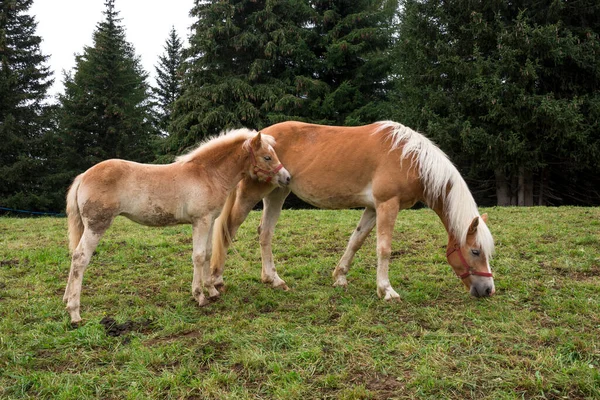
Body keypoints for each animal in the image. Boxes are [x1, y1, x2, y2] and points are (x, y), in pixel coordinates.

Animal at [62, 130, 290, 324]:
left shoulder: (210, 220)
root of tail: (83, 176)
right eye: (267, 157)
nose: (287, 178)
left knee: (74, 256)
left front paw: (212, 292)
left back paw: (66, 300)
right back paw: (74, 312)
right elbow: (198, 256)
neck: (208, 174)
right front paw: (200, 296)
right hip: (96, 225)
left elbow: (208, 254)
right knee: (80, 258)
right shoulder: (201, 221)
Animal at [213, 121, 494, 300]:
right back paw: (215, 281)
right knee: (229, 229)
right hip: (252, 194)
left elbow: (356, 241)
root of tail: (254, 140)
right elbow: (384, 248)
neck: (409, 158)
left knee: (265, 233)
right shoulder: (387, 204)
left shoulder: (372, 208)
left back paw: (273, 279)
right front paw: (386, 290)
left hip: (277, 193)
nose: (488, 290)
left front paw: (340, 277)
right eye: (475, 251)